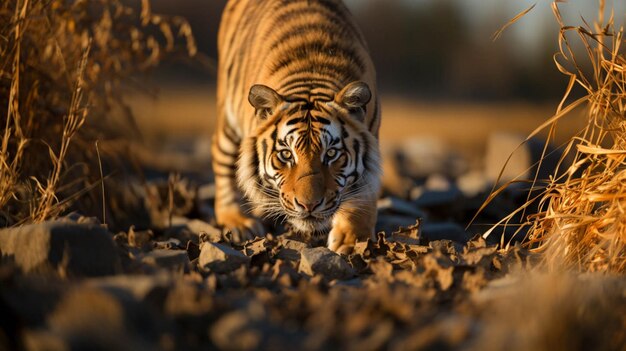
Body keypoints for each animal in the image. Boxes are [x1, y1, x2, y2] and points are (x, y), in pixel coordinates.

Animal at [212, 0, 380, 254]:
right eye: (286, 155)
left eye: (331, 154)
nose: (308, 205)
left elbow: (362, 195)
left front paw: (353, 241)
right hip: (227, 121)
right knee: (223, 165)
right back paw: (238, 221)